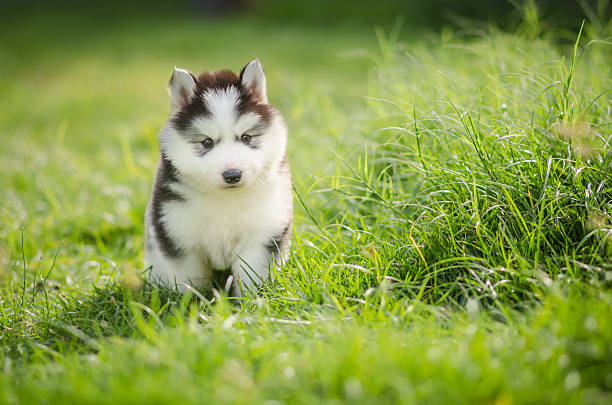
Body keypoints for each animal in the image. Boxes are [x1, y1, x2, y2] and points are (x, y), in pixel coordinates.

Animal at [146, 59, 294, 294]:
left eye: (246, 137)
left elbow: (251, 278)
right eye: (207, 142)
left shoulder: (260, 238)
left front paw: (252, 300)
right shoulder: (179, 237)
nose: (232, 175)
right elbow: (190, 282)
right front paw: (190, 301)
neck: (225, 200)